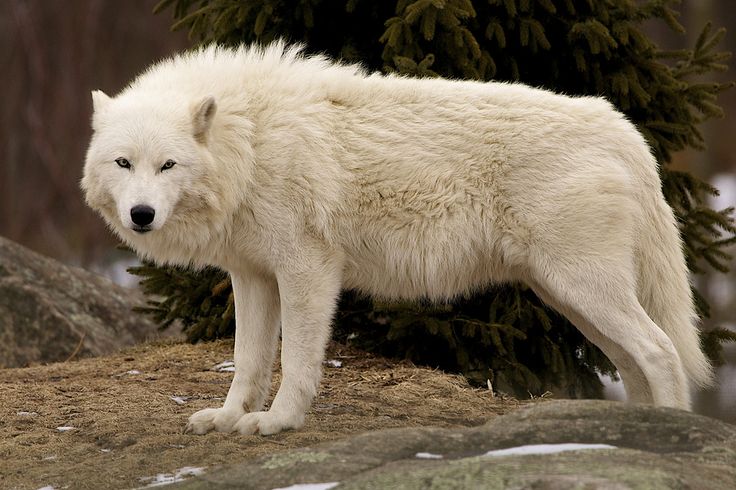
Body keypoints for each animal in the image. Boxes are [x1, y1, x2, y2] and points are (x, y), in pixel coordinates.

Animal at [82, 41, 712, 432]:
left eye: (167, 165)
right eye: (123, 163)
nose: (141, 214)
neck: (251, 141)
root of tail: (621, 128)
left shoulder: (308, 270)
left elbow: (299, 361)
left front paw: (279, 422)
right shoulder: (254, 275)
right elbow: (248, 362)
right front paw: (230, 418)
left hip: (581, 288)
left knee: (659, 351)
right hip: (568, 296)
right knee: (635, 360)